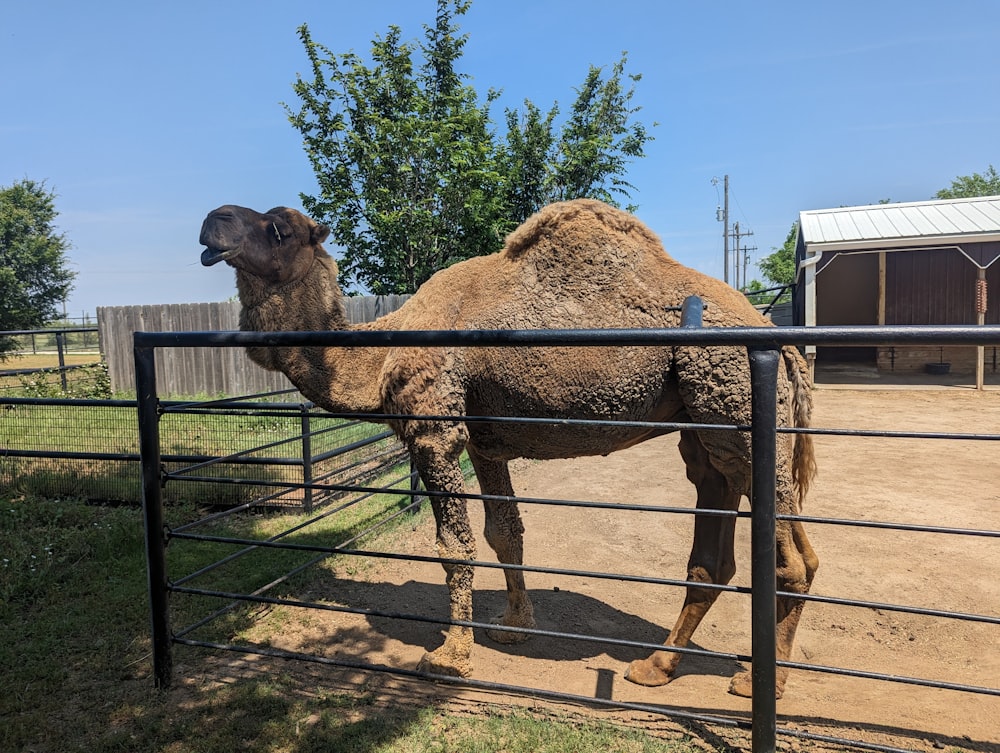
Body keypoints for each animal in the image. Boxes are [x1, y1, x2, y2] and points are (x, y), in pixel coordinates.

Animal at [199, 197, 816, 696]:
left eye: (279, 228)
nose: (214, 220)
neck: (379, 356)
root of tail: (781, 342)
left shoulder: (435, 429)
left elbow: (455, 547)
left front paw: (451, 656)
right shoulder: (483, 440)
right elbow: (506, 532)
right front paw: (515, 627)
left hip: (734, 406)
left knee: (792, 559)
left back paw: (762, 681)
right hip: (706, 431)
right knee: (719, 552)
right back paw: (656, 667)